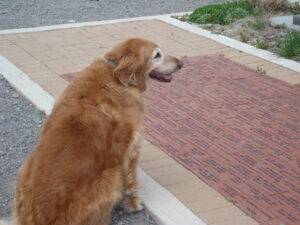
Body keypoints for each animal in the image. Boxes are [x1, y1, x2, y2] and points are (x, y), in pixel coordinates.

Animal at [5, 37, 183, 224]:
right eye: (157, 55)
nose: (181, 64)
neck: (116, 75)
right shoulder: (132, 147)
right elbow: (132, 182)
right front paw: (135, 205)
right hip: (110, 178)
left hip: (23, 170)